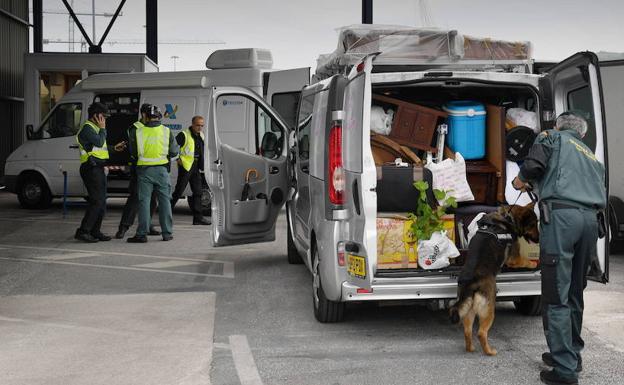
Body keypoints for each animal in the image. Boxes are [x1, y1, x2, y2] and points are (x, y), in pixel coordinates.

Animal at [448, 202, 540, 356]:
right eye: (532, 225)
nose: (539, 240)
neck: (508, 217)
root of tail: (471, 282)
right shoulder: (514, 259)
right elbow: (525, 261)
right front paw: (533, 263)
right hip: (489, 309)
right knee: (481, 333)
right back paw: (489, 351)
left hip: (469, 310)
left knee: (467, 331)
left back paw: (470, 348)